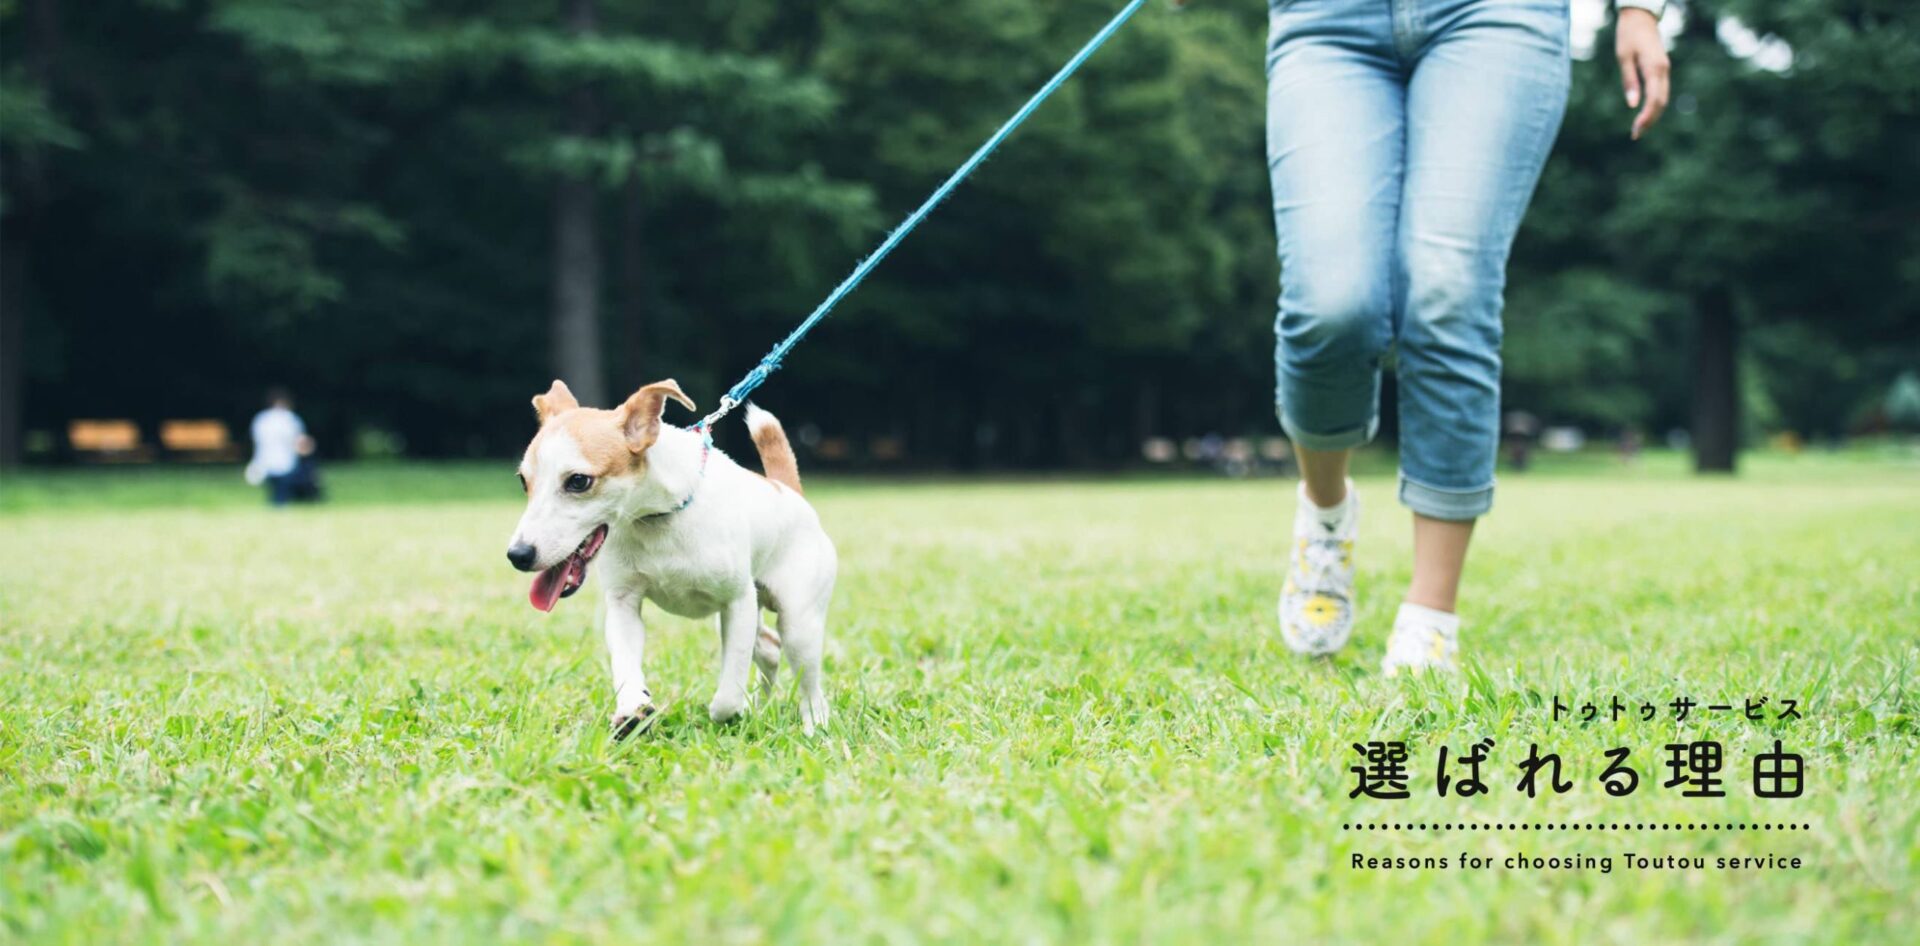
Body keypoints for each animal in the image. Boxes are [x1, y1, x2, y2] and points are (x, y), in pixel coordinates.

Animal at [506, 379, 837, 733]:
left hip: (798, 623)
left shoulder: (738, 602)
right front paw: (632, 709)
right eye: (523, 481)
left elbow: (728, 692)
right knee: (770, 649)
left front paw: (728, 711)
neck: (656, 518)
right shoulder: (623, 603)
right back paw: (759, 705)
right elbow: (625, 662)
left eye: (578, 481)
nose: (518, 555)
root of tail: (787, 491)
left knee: (807, 678)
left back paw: (814, 723)